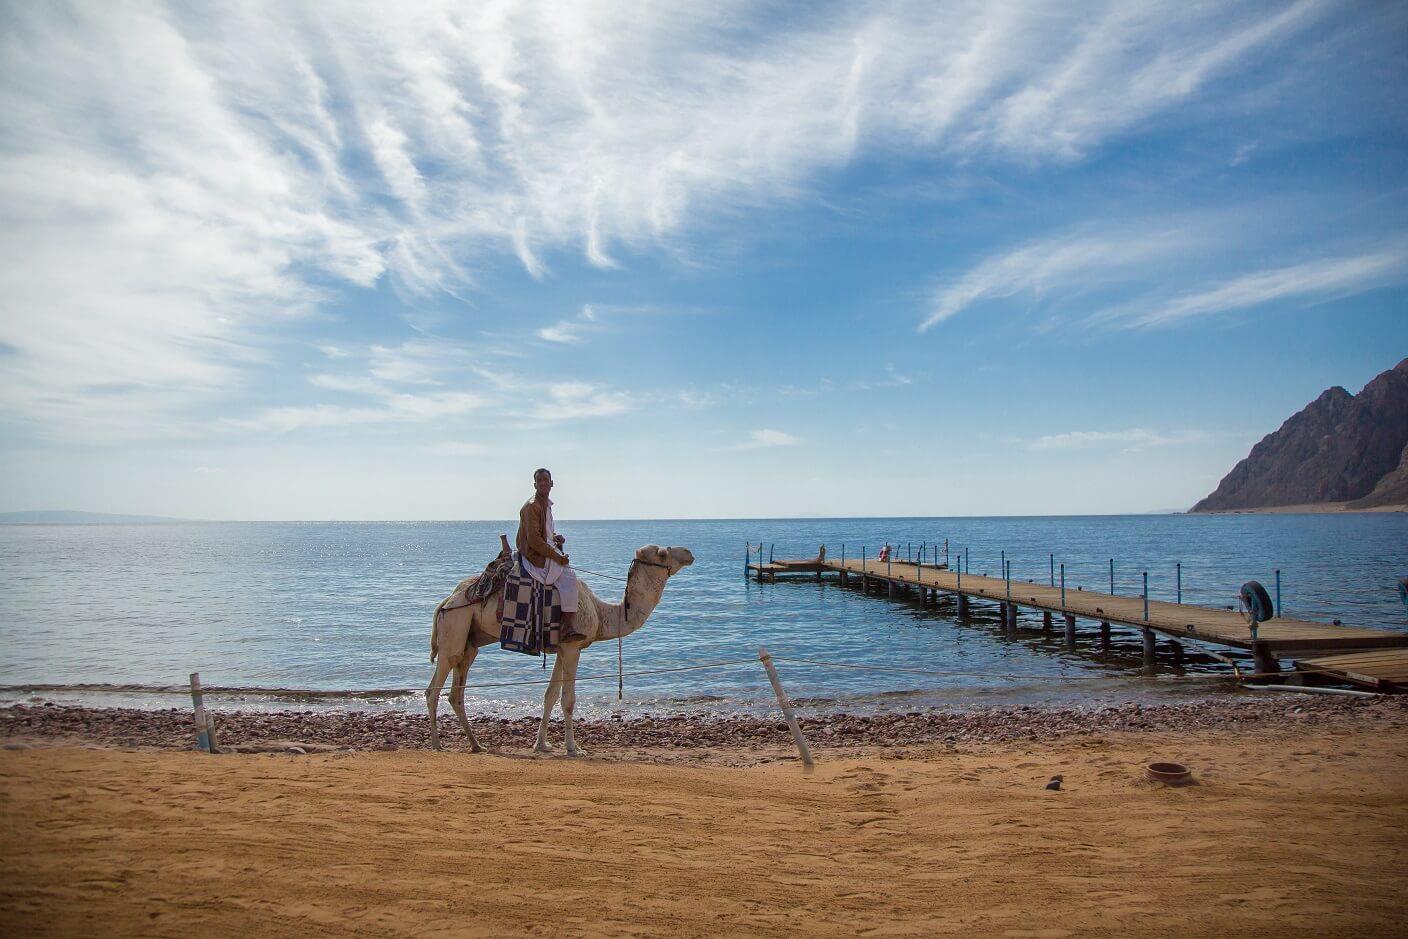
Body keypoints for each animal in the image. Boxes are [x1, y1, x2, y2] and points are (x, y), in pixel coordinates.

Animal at [425, 543, 695, 754]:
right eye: (662, 553)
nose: (689, 553)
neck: (601, 613)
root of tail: (446, 601)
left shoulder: (561, 650)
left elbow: (550, 696)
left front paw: (541, 745)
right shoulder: (573, 647)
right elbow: (568, 699)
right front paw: (574, 748)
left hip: (470, 640)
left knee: (457, 691)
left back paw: (476, 745)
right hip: (454, 626)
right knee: (434, 687)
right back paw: (437, 744)